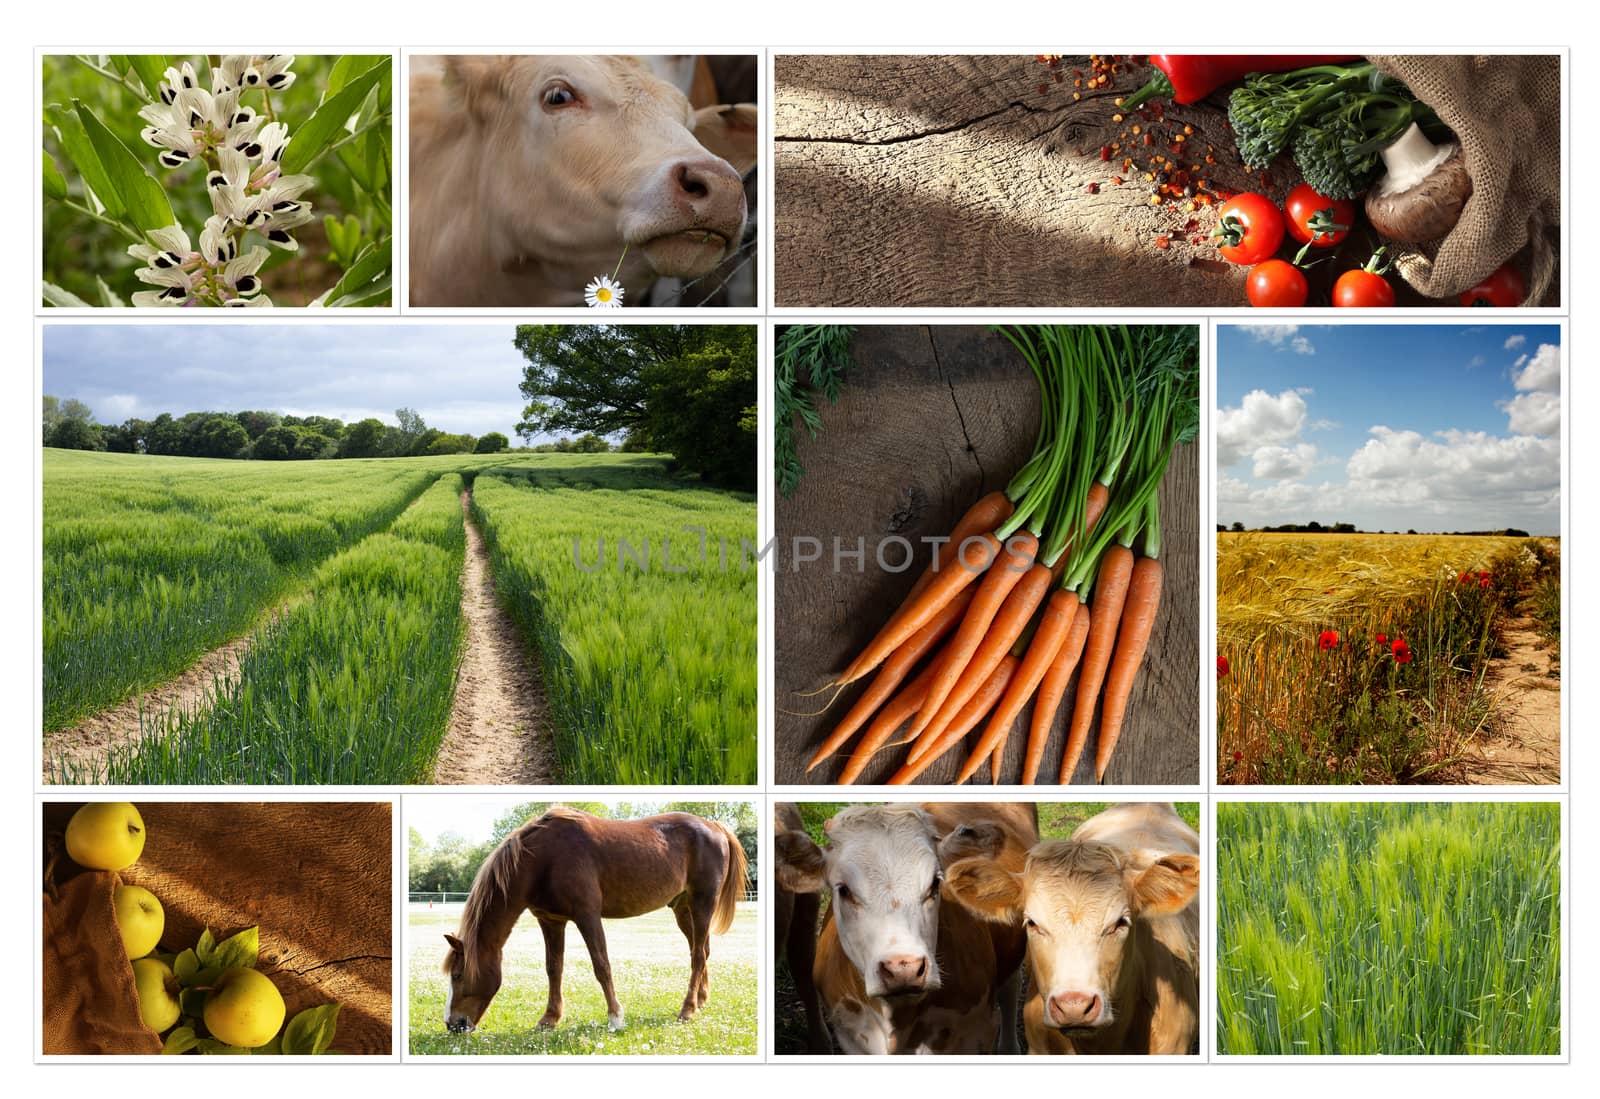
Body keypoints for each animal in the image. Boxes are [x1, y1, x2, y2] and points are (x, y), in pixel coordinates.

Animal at [441, 809, 745, 1030]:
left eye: (458, 975)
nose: (453, 1024)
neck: (543, 859)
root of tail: (715, 826)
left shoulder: (587, 916)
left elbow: (601, 965)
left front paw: (615, 1018)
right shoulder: (551, 920)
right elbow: (553, 968)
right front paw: (549, 1018)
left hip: (703, 903)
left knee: (698, 955)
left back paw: (687, 1010)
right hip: (682, 908)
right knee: (701, 950)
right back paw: (700, 1001)